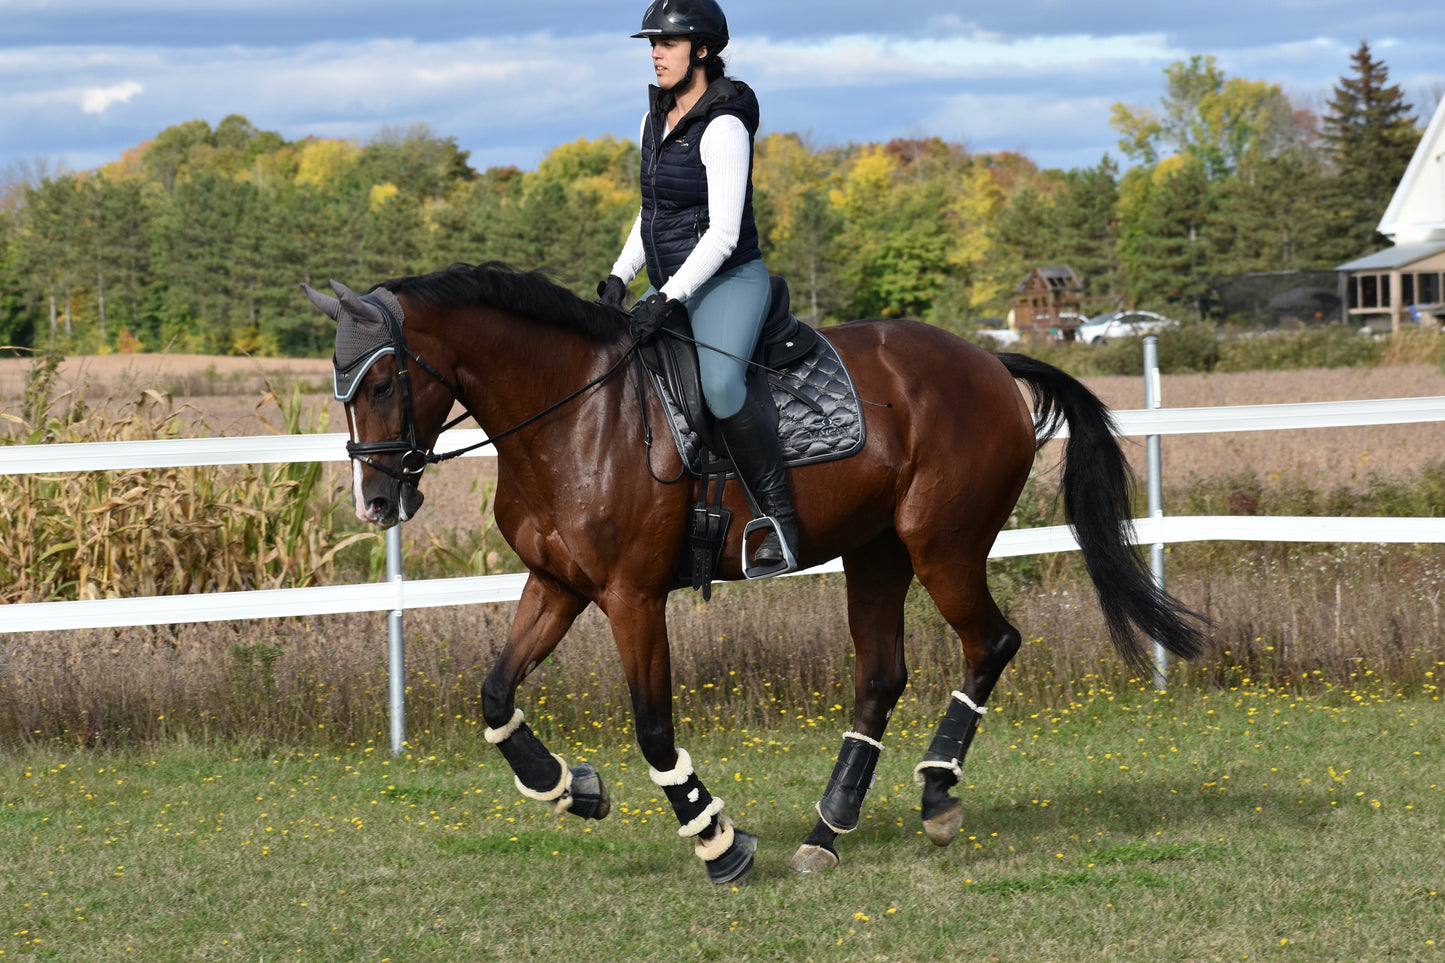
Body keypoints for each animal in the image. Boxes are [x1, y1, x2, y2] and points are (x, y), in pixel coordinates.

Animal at [307, 263, 1208, 879]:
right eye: (338, 385)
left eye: (381, 380)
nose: (374, 502)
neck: (574, 413)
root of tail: (987, 364)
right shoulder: (556, 585)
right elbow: (495, 694)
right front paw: (571, 788)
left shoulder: (631, 597)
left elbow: (653, 725)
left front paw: (716, 840)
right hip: (875, 552)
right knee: (880, 676)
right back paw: (826, 829)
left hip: (941, 545)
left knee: (990, 643)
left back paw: (936, 795)